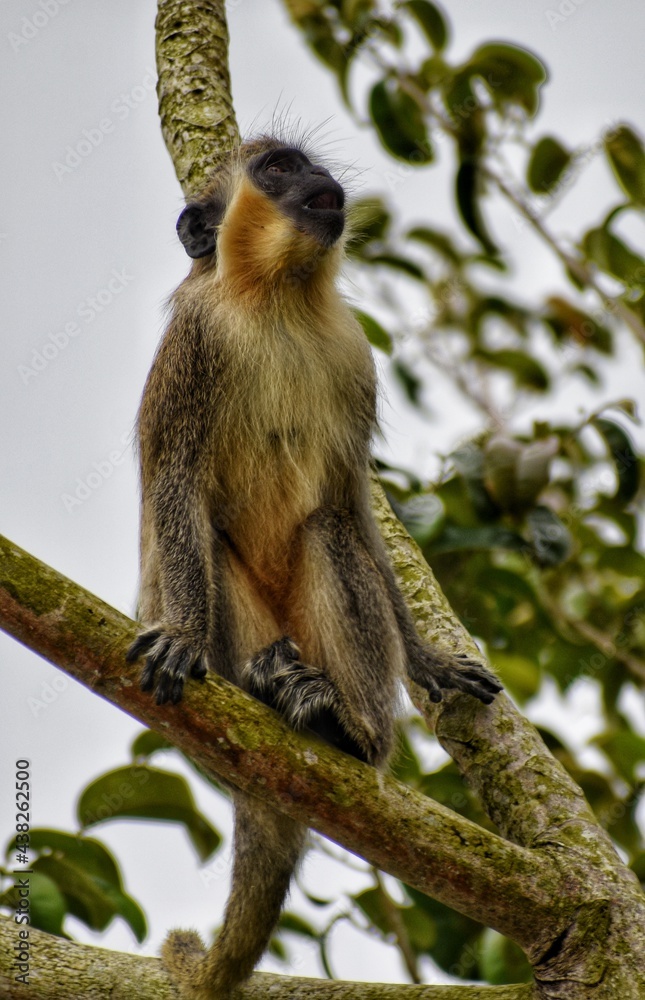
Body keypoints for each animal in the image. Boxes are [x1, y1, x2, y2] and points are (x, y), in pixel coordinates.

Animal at [126, 135, 502, 999]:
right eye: (277, 168)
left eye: (303, 164)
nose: (320, 182)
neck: (279, 305)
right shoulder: (193, 341)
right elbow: (175, 484)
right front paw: (182, 635)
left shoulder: (354, 356)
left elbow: (353, 507)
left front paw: (428, 662)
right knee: (208, 544)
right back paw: (266, 689)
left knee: (329, 530)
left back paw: (345, 729)